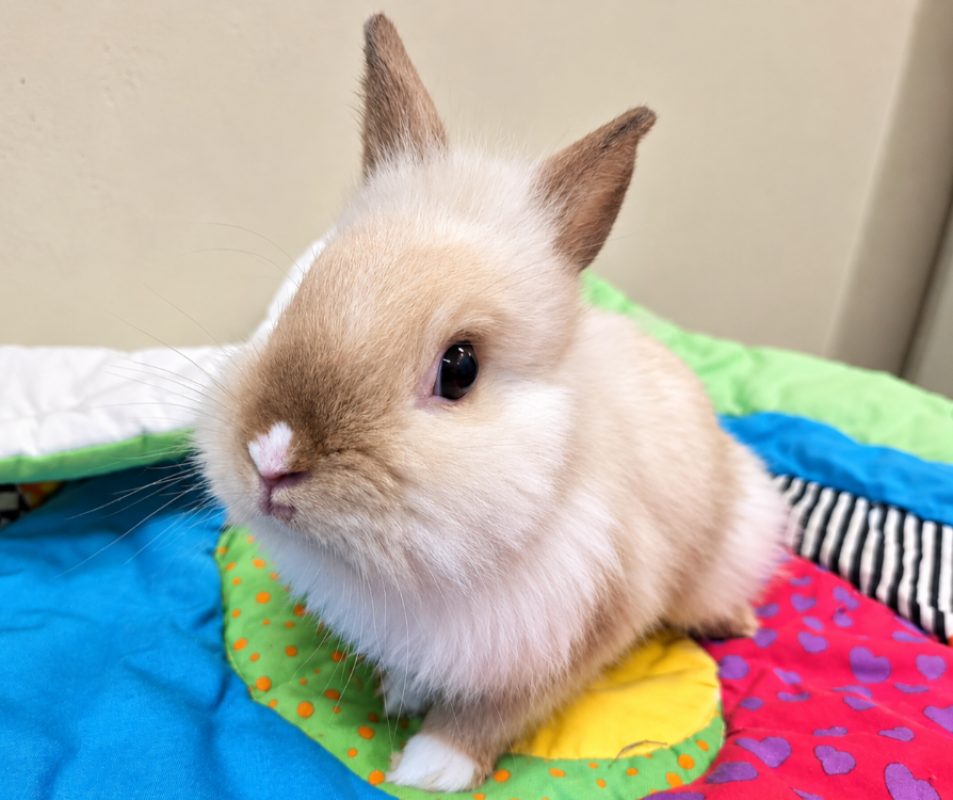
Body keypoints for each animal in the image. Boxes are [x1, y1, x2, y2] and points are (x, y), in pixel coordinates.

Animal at [195, 13, 788, 793]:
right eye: (300, 290)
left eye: (460, 368)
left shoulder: (583, 625)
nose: (271, 458)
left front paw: (430, 765)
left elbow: (499, 709)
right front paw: (402, 694)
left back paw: (735, 623)